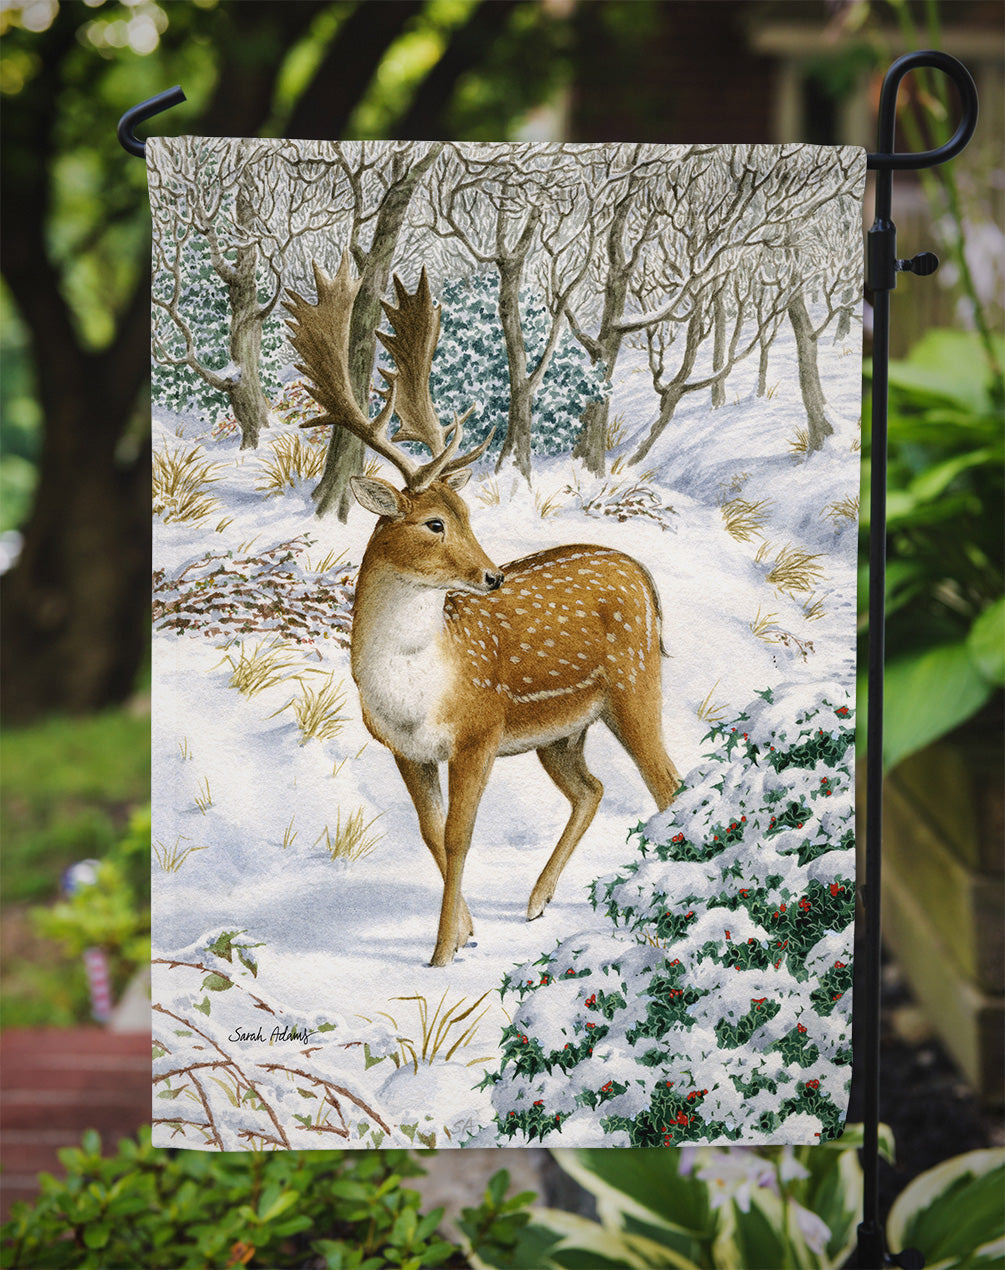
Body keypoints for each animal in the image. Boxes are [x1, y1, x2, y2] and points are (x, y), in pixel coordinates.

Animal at [284, 255, 680, 966]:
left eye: (467, 513)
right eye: (435, 522)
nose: (493, 576)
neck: (415, 687)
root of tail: (642, 574)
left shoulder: (479, 729)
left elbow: (461, 835)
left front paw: (441, 953)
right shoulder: (404, 749)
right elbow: (430, 832)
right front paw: (467, 932)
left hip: (634, 683)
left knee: (667, 783)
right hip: (562, 731)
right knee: (594, 788)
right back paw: (537, 900)